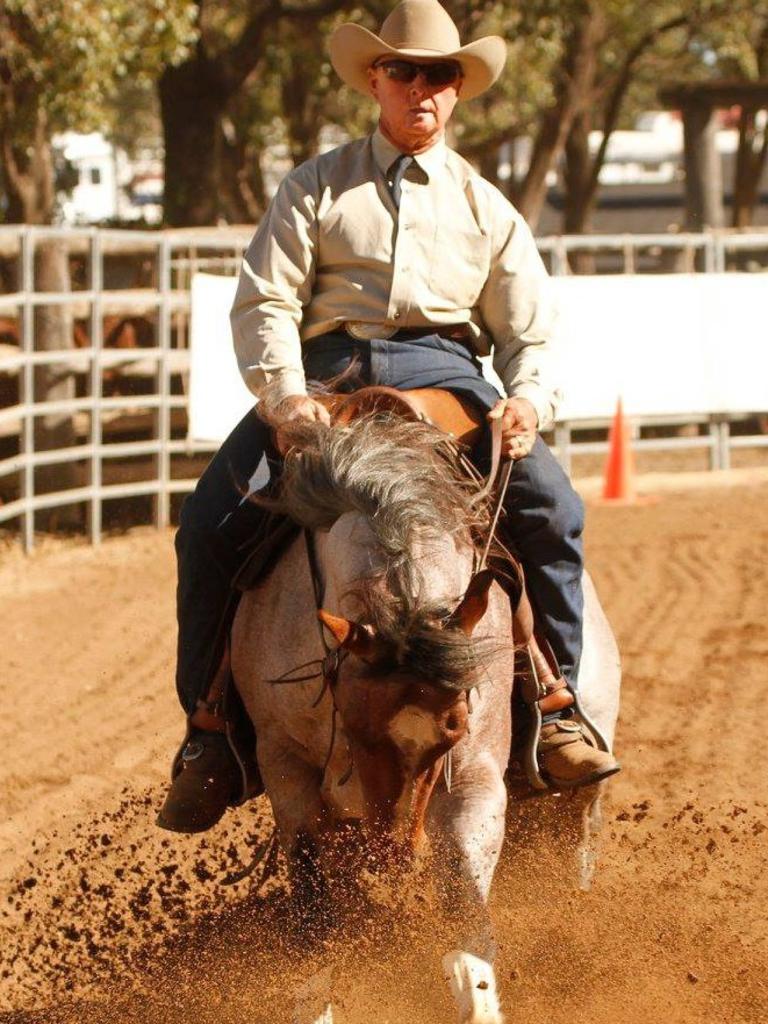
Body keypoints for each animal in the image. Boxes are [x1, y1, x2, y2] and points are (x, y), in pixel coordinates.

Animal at [231, 411, 622, 1019]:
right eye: (356, 722)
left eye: (453, 729)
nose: (397, 849)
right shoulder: (285, 765)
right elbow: (314, 904)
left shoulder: (473, 777)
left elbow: (463, 900)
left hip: (587, 769)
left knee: (578, 834)